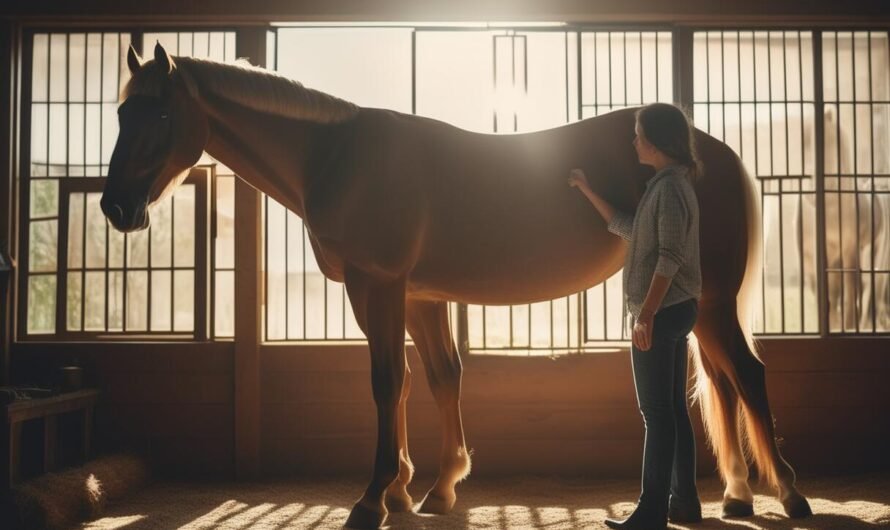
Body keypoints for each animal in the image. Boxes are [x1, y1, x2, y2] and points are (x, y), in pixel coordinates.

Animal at [101, 43, 812, 529]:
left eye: (158, 114)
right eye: (120, 111)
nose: (115, 207)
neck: (338, 158)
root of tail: (709, 152)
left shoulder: (378, 287)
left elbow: (387, 382)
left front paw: (373, 498)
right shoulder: (419, 296)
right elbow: (436, 380)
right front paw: (428, 490)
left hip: (712, 301)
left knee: (746, 375)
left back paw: (789, 494)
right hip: (698, 308)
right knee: (720, 381)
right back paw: (736, 496)